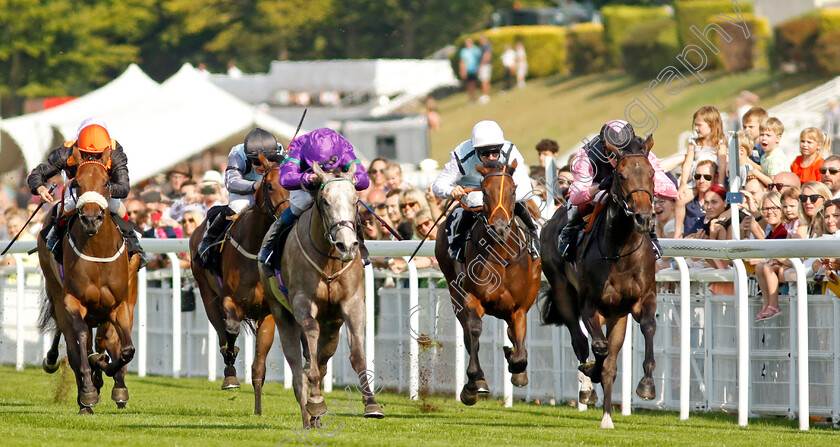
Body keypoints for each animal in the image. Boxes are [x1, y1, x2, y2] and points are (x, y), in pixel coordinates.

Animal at [37, 145, 139, 414]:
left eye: (106, 182)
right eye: (77, 183)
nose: (91, 219)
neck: (98, 253)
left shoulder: (119, 305)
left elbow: (126, 349)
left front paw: (110, 376)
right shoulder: (73, 302)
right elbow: (81, 341)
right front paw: (89, 391)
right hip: (56, 292)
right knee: (75, 348)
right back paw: (85, 396)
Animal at [188, 155, 288, 416]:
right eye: (270, 185)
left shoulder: (268, 313)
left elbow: (259, 364)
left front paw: (258, 410)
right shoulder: (229, 300)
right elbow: (230, 331)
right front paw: (231, 369)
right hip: (207, 295)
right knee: (221, 331)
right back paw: (229, 370)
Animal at [260, 163, 384, 428]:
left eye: (356, 201)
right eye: (325, 201)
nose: (346, 245)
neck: (329, 260)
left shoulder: (353, 304)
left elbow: (357, 354)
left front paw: (371, 404)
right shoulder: (303, 302)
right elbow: (310, 341)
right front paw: (316, 401)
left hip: (333, 324)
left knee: (324, 356)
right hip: (281, 313)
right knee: (298, 367)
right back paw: (309, 415)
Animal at [434, 160, 544, 406]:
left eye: (513, 190)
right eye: (484, 191)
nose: (499, 228)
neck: (501, 256)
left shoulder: (519, 307)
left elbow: (519, 346)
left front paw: (517, 367)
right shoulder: (470, 298)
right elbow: (473, 330)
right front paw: (473, 384)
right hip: (454, 290)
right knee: (467, 331)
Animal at [540, 136, 660, 430]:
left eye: (651, 174)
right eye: (621, 175)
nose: (644, 218)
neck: (620, 250)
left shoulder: (642, 299)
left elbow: (648, 327)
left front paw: (647, 385)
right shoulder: (589, 304)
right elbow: (598, 346)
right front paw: (590, 372)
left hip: (617, 315)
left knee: (611, 361)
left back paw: (607, 416)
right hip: (563, 292)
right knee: (581, 341)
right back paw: (588, 389)